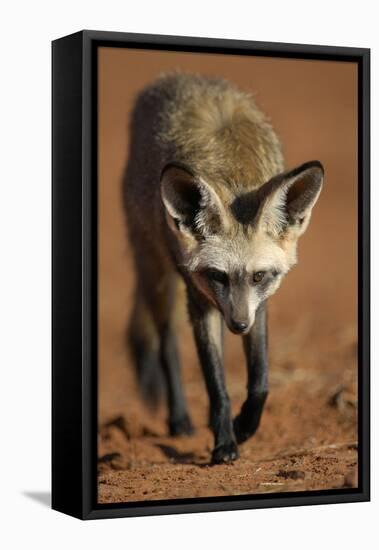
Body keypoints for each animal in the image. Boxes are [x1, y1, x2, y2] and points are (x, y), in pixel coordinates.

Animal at [124, 73, 324, 466]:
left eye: (260, 276)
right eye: (217, 275)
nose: (239, 325)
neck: (234, 174)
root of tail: (175, 77)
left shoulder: (258, 303)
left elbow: (260, 380)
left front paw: (245, 425)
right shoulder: (199, 298)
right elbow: (215, 383)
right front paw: (225, 443)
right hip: (157, 274)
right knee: (167, 344)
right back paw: (180, 419)